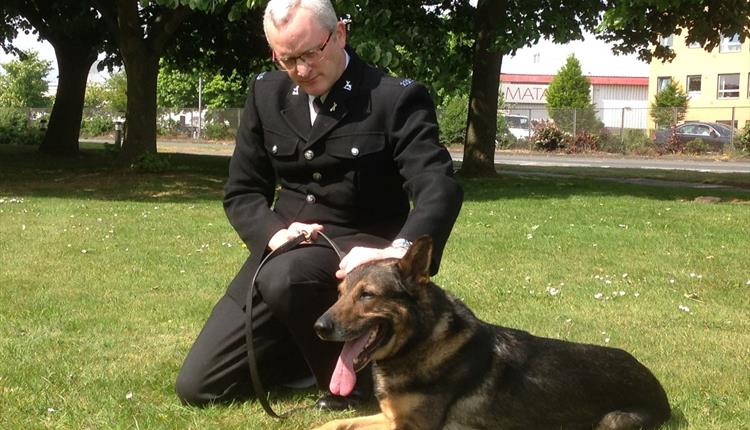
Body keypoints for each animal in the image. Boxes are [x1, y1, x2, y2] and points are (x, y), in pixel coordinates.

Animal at [312, 237, 668, 428]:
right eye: (340, 293)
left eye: (367, 295)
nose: (318, 328)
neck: (423, 342)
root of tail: (658, 389)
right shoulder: (390, 418)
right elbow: (334, 423)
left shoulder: (411, 426)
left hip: (612, 421)